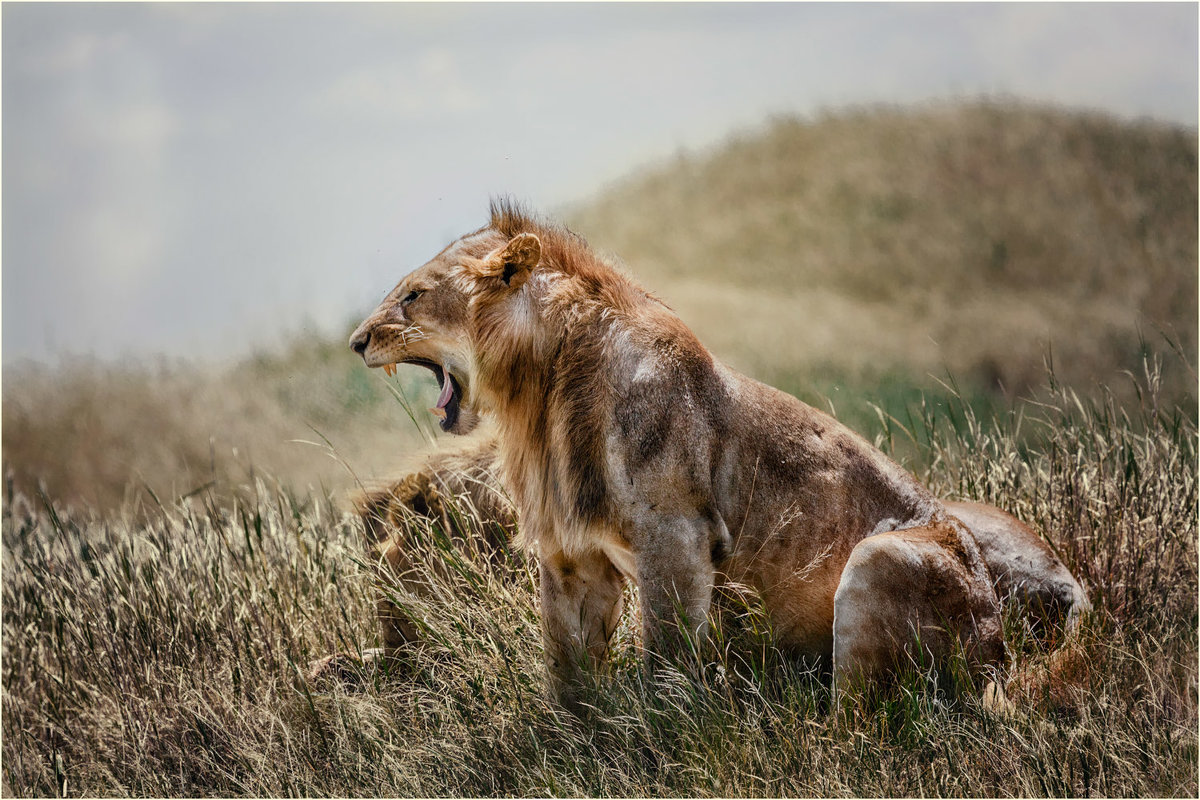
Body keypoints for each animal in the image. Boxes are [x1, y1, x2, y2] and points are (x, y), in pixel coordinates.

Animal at [340, 201, 1089, 705]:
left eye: (414, 295)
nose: (355, 342)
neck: (540, 391)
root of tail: (1003, 647)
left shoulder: (673, 535)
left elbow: (667, 661)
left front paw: (661, 739)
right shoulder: (572, 553)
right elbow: (568, 673)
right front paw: (570, 744)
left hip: (887, 561)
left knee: (867, 721)